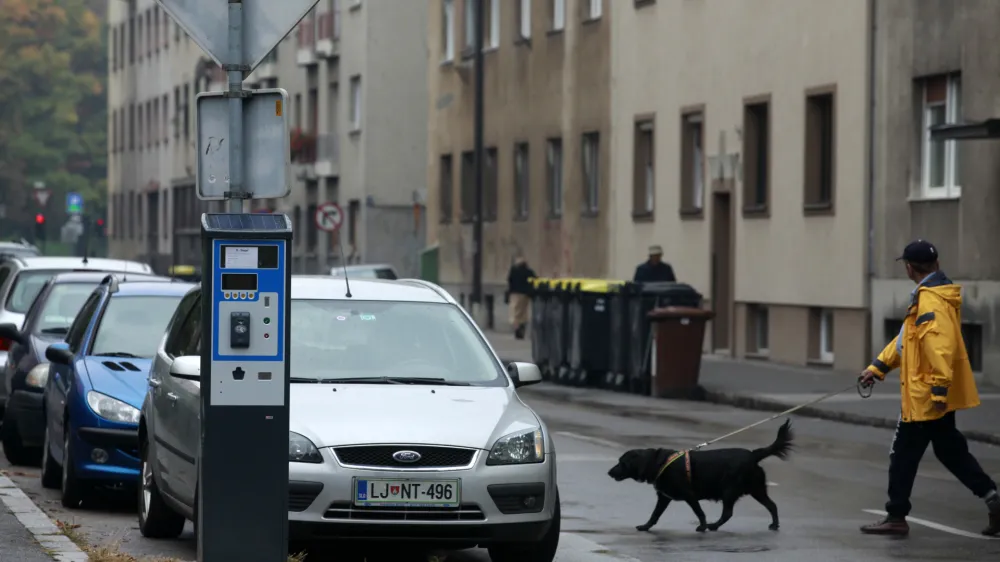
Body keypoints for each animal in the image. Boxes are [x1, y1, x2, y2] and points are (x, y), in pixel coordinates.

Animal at [604, 418, 792, 532]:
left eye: (622, 463)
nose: (609, 472)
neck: (658, 462)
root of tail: (753, 455)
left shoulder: (689, 495)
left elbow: (699, 512)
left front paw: (702, 527)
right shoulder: (664, 497)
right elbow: (655, 514)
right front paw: (645, 526)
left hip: (730, 490)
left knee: (728, 513)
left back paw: (713, 526)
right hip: (756, 489)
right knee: (772, 505)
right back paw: (774, 525)